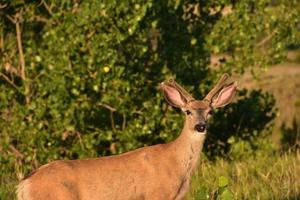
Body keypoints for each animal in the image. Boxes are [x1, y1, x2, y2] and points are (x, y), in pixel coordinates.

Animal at [17, 73, 237, 200]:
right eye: (188, 111)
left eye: (210, 112)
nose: (200, 126)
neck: (178, 166)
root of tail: (24, 184)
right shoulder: (156, 194)